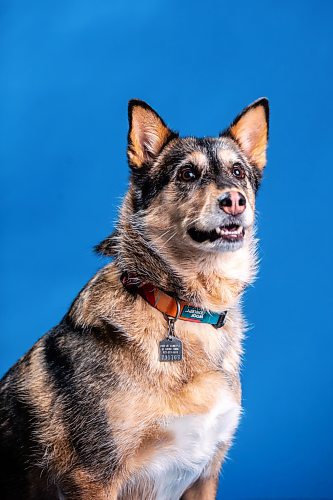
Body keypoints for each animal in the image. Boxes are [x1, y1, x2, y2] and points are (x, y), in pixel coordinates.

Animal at [0, 95, 268, 498]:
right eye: (187, 175)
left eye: (238, 172)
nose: (234, 201)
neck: (182, 307)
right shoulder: (94, 476)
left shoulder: (206, 475)